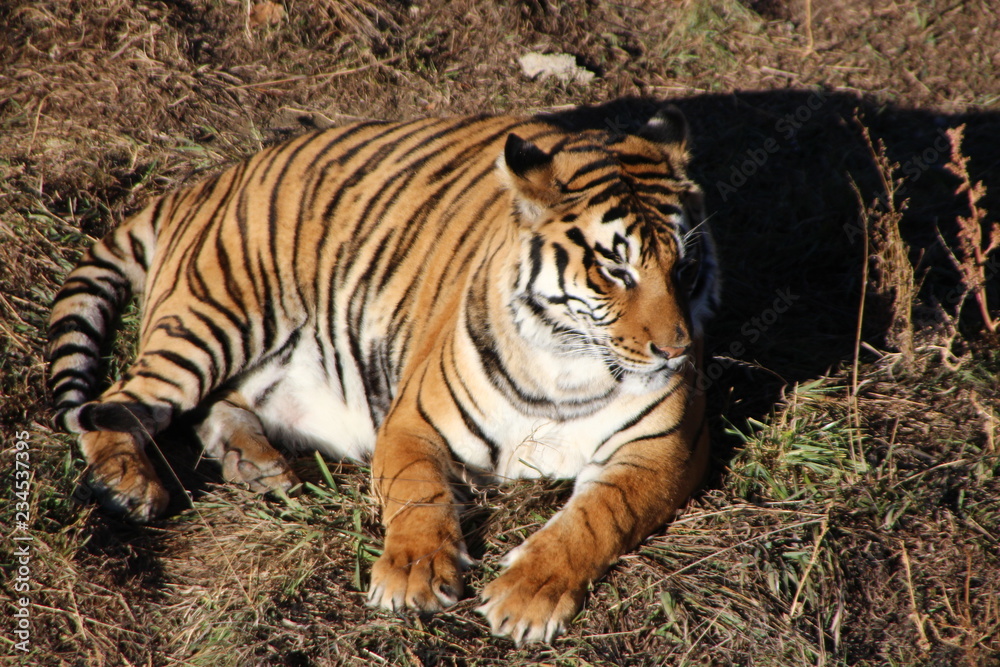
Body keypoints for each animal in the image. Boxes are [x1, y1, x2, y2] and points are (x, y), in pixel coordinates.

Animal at [47, 104, 719, 644]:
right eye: (615, 271)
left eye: (684, 270)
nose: (675, 351)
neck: (569, 369)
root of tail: (209, 181)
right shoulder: (413, 421)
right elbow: (417, 494)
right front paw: (414, 576)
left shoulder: (662, 451)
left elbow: (593, 521)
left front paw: (527, 597)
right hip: (213, 319)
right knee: (113, 402)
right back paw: (129, 484)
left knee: (215, 405)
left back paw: (256, 466)